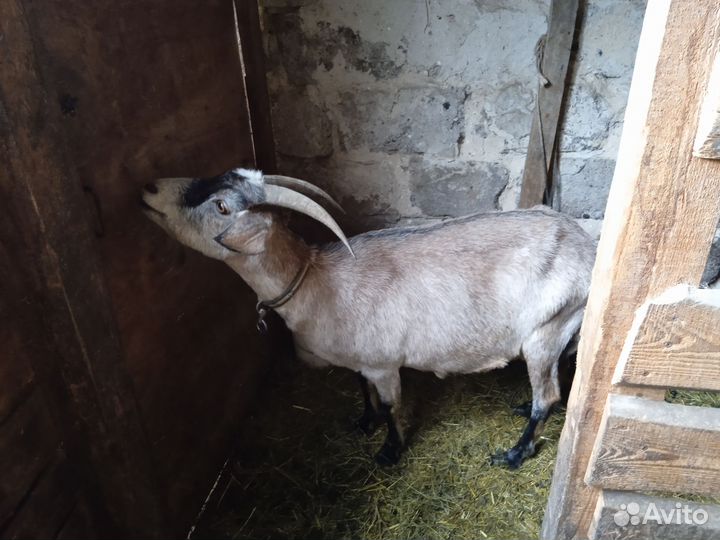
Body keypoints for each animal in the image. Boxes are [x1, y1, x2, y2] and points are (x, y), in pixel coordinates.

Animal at [141, 168, 595, 468]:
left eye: (221, 206)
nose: (149, 186)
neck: (314, 280)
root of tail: (587, 248)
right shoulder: (361, 358)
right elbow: (361, 389)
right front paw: (363, 422)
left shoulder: (383, 361)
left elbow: (393, 406)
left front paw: (389, 452)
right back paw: (520, 409)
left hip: (546, 330)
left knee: (548, 396)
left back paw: (515, 453)